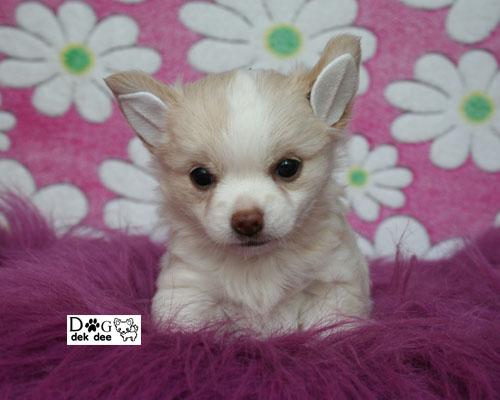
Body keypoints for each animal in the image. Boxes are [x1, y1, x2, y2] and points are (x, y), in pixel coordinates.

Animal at [105, 34, 371, 336]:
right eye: (201, 176)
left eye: (288, 168)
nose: (247, 221)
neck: (256, 263)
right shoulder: (187, 290)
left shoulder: (334, 284)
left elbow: (331, 329)